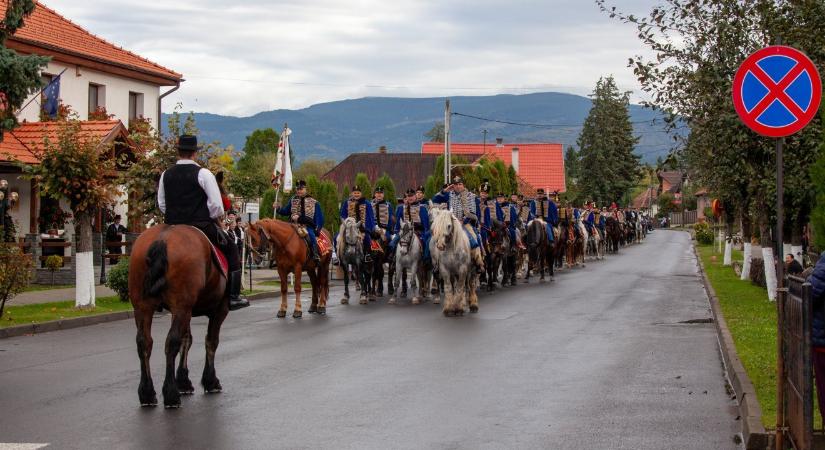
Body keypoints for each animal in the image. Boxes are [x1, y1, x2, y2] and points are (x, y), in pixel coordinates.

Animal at [129, 224, 227, 408]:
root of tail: (163, 238)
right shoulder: (219, 309)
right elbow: (211, 341)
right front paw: (210, 381)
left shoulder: (186, 311)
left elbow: (187, 340)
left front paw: (183, 381)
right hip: (181, 307)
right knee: (171, 342)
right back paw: (171, 394)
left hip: (143, 307)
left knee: (144, 342)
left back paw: (147, 393)